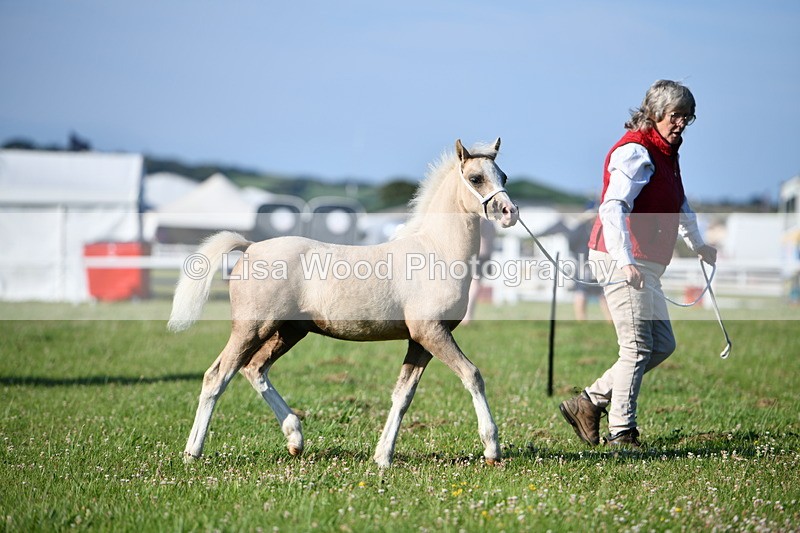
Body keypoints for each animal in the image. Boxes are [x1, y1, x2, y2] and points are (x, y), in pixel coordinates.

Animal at [168, 138, 519, 467]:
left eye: (503, 176)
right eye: (475, 178)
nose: (510, 213)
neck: (435, 251)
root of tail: (251, 247)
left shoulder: (420, 341)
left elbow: (403, 394)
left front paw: (382, 456)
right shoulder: (431, 332)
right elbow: (472, 375)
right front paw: (492, 449)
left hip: (289, 331)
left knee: (254, 369)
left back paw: (295, 438)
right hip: (251, 328)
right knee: (217, 376)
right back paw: (192, 452)